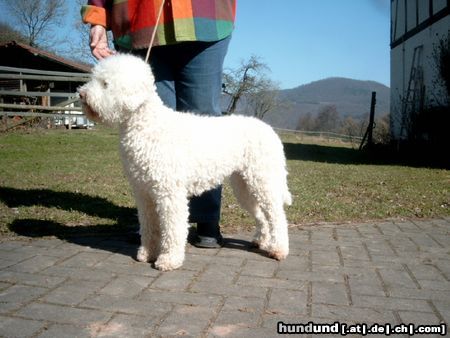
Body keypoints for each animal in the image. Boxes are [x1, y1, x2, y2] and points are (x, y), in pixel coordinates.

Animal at [78, 54, 292, 270]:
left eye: (105, 83)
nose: (81, 94)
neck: (147, 125)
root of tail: (269, 130)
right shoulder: (144, 192)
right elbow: (148, 225)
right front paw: (147, 253)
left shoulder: (169, 192)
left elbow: (172, 228)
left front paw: (169, 259)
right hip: (244, 185)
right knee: (262, 215)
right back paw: (261, 240)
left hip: (263, 180)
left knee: (277, 215)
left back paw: (278, 249)